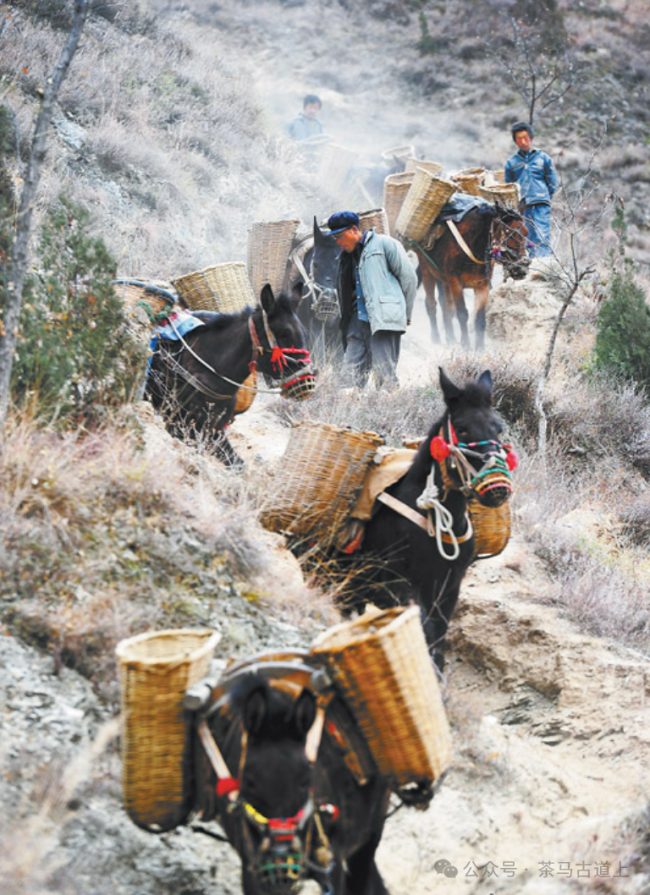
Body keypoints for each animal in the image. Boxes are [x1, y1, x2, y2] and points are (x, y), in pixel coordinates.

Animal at [144, 286, 314, 468]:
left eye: (302, 332)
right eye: (283, 332)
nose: (308, 381)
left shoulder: (214, 429)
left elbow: (238, 465)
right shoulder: (182, 427)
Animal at [190, 660, 388, 895]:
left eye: (306, 781)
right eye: (249, 781)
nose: (280, 857)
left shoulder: (333, 861)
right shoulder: (251, 868)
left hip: (371, 832)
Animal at [342, 368, 512, 668]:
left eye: (498, 428)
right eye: (462, 428)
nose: (498, 489)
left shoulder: (449, 588)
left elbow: (438, 638)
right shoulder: (394, 585)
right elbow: (425, 629)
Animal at [410, 201, 528, 352]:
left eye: (526, 233)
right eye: (509, 233)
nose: (522, 267)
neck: (473, 246)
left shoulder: (482, 285)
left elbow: (479, 317)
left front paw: (480, 348)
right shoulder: (455, 282)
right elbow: (462, 313)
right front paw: (466, 344)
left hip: (444, 281)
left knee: (446, 307)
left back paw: (450, 338)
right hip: (427, 271)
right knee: (431, 304)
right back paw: (436, 338)